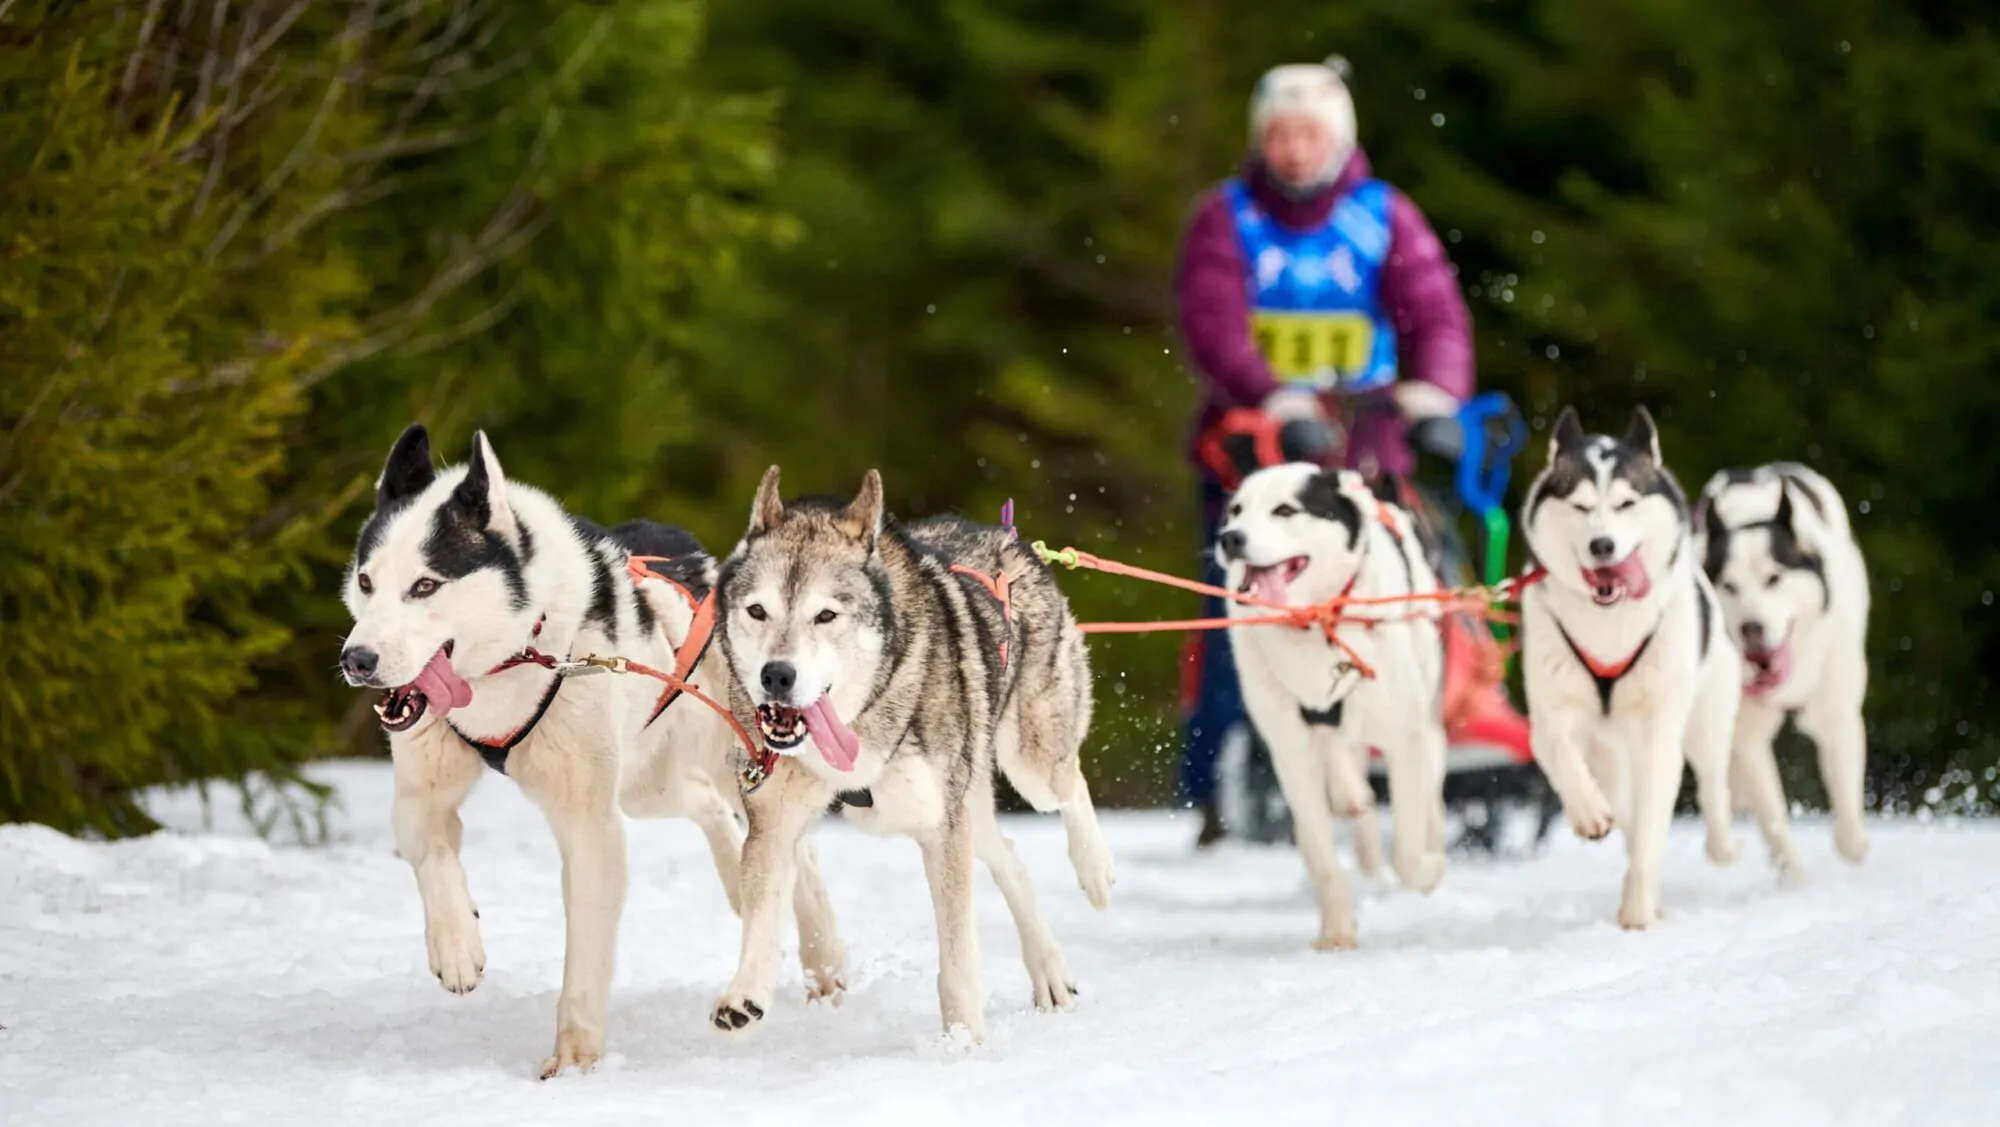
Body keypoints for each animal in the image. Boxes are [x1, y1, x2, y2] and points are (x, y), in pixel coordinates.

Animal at [344, 427, 844, 1079]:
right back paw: (738, 880)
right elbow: (431, 854)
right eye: (366, 582)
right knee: (707, 806)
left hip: (726, 758)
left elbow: (584, 957)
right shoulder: (420, 793)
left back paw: (825, 964)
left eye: (425, 585)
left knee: (791, 846)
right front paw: (456, 946)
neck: (519, 654)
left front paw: (575, 1063)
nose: (357, 660)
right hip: (645, 788)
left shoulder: (590, 827)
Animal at [708, 467, 1120, 1039]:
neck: (861, 718)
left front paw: (964, 1041)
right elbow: (763, 917)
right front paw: (745, 993)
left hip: (1029, 766)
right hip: (970, 804)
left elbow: (958, 954)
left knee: (1069, 783)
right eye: (757, 611)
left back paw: (1095, 871)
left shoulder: (941, 828)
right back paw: (1050, 971)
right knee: (1010, 858)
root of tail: (1005, 535)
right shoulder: (774, 822)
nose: (776, 676)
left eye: (826, 615)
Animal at [1208, 461, 1448, 947]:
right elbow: (1323, 859)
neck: (1316, 622)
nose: (1230, 538)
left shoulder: (1406, 738)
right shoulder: (1290, 753)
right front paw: (1337, 933)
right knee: (1348, 782)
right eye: (1236, 510)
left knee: (1428, 795)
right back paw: (1352, 799)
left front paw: (1428, 870)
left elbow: (1408, 851)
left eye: (1285, 510)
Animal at [1512, 409, 1800, 927]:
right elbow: (1558, 751)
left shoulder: (1659, 728)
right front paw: (1588, 813)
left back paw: (1722, 846)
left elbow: (1654, 822)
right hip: (1608, 754)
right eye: (1581, 506)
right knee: (1623, 803)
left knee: (1711, 789)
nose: (1602, 545)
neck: (1609, 626)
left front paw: (1638, 910)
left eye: (1627, 502)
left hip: (1705, 721)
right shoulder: (1551, 712)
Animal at [1696, 463, 1864, 863]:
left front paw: (1852, 839)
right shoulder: (1747, 733)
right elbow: (1773, 819)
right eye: (1729, 586)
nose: (1751, 628)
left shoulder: (1834, 709)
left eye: (1774, 578)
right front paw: (1793, 873)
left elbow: (1847, 810)